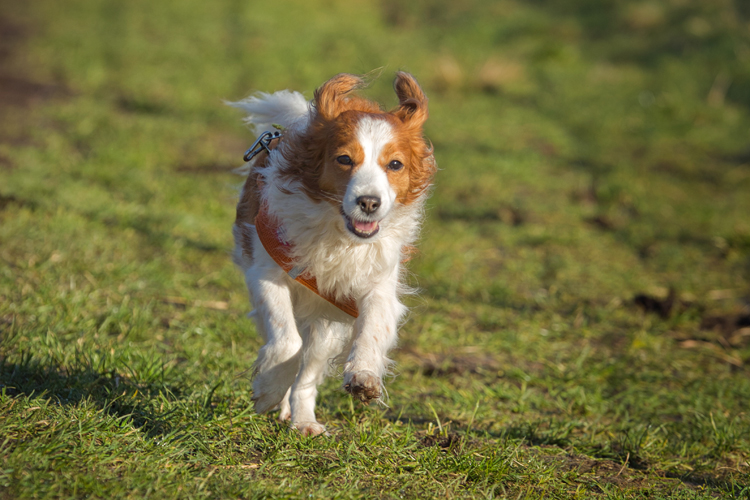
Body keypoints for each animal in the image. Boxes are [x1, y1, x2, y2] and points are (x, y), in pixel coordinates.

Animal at [232, 72, 438, 436]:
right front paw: (268, 389)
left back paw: (302, 420)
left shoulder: (378, 285)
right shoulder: (265, 274)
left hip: (325, 330)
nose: (369, 202)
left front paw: (364, 375)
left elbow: (372, 326)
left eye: (395, 164)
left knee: (308, 373)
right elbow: (287, 340)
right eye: (344, 159)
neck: (339, 235)